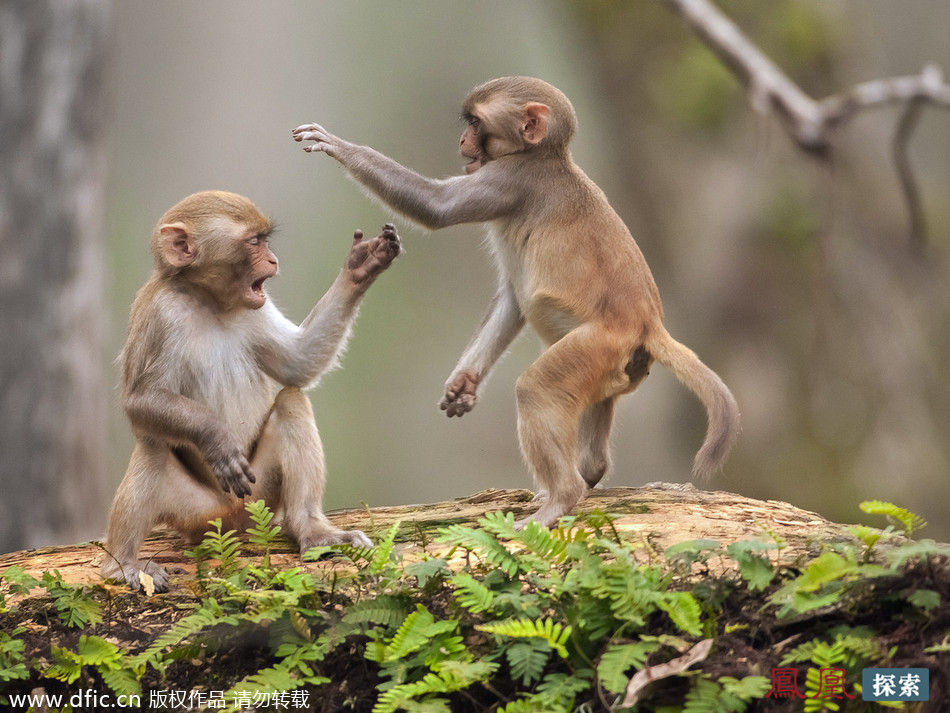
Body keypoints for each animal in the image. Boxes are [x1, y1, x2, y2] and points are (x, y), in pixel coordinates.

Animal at [102, 189, 400, 588]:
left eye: (264, 240)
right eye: (254, 242)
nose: (273, 260)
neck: (208, 300)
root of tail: (235, 519)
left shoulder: (257, 306)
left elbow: (297, 364)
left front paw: (362, 266)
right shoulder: (159, 314)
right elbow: (140, 400)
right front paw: (215, 437)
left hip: (263, 493)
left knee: (291, 402)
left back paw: (312, 530)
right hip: (195, 512)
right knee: (153, 445)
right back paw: (121, 563)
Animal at [294, 78, 740, 524]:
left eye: (476, 122)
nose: (461, 141)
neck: (543, 156)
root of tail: (647, 324)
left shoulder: (511, 180)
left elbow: (436, 207)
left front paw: (339, 146)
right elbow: (512, 297)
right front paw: (464, 383)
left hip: (595, 345)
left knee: (537, 389)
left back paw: (561, 497)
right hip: (616, 363)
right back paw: (587, 473)